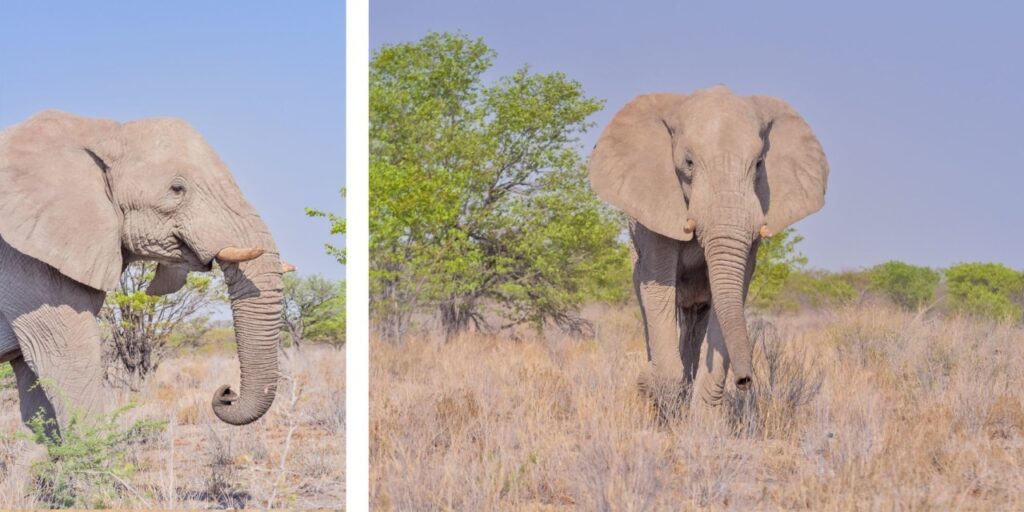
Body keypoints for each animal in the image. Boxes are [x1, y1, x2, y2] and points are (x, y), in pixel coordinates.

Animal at [0, 110, 292, 431]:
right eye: (177, 189)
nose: (227, 392)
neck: (101, 132)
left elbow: (38, 409)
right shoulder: (27, 263)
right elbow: (67, 366)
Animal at [588, 86, 828, 412]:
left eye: (759, 164)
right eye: (688, 163)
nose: (745, 381)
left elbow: (732, 292)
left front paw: (703, 420)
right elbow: (658, 289)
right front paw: (649, 386)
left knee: (695, 315)